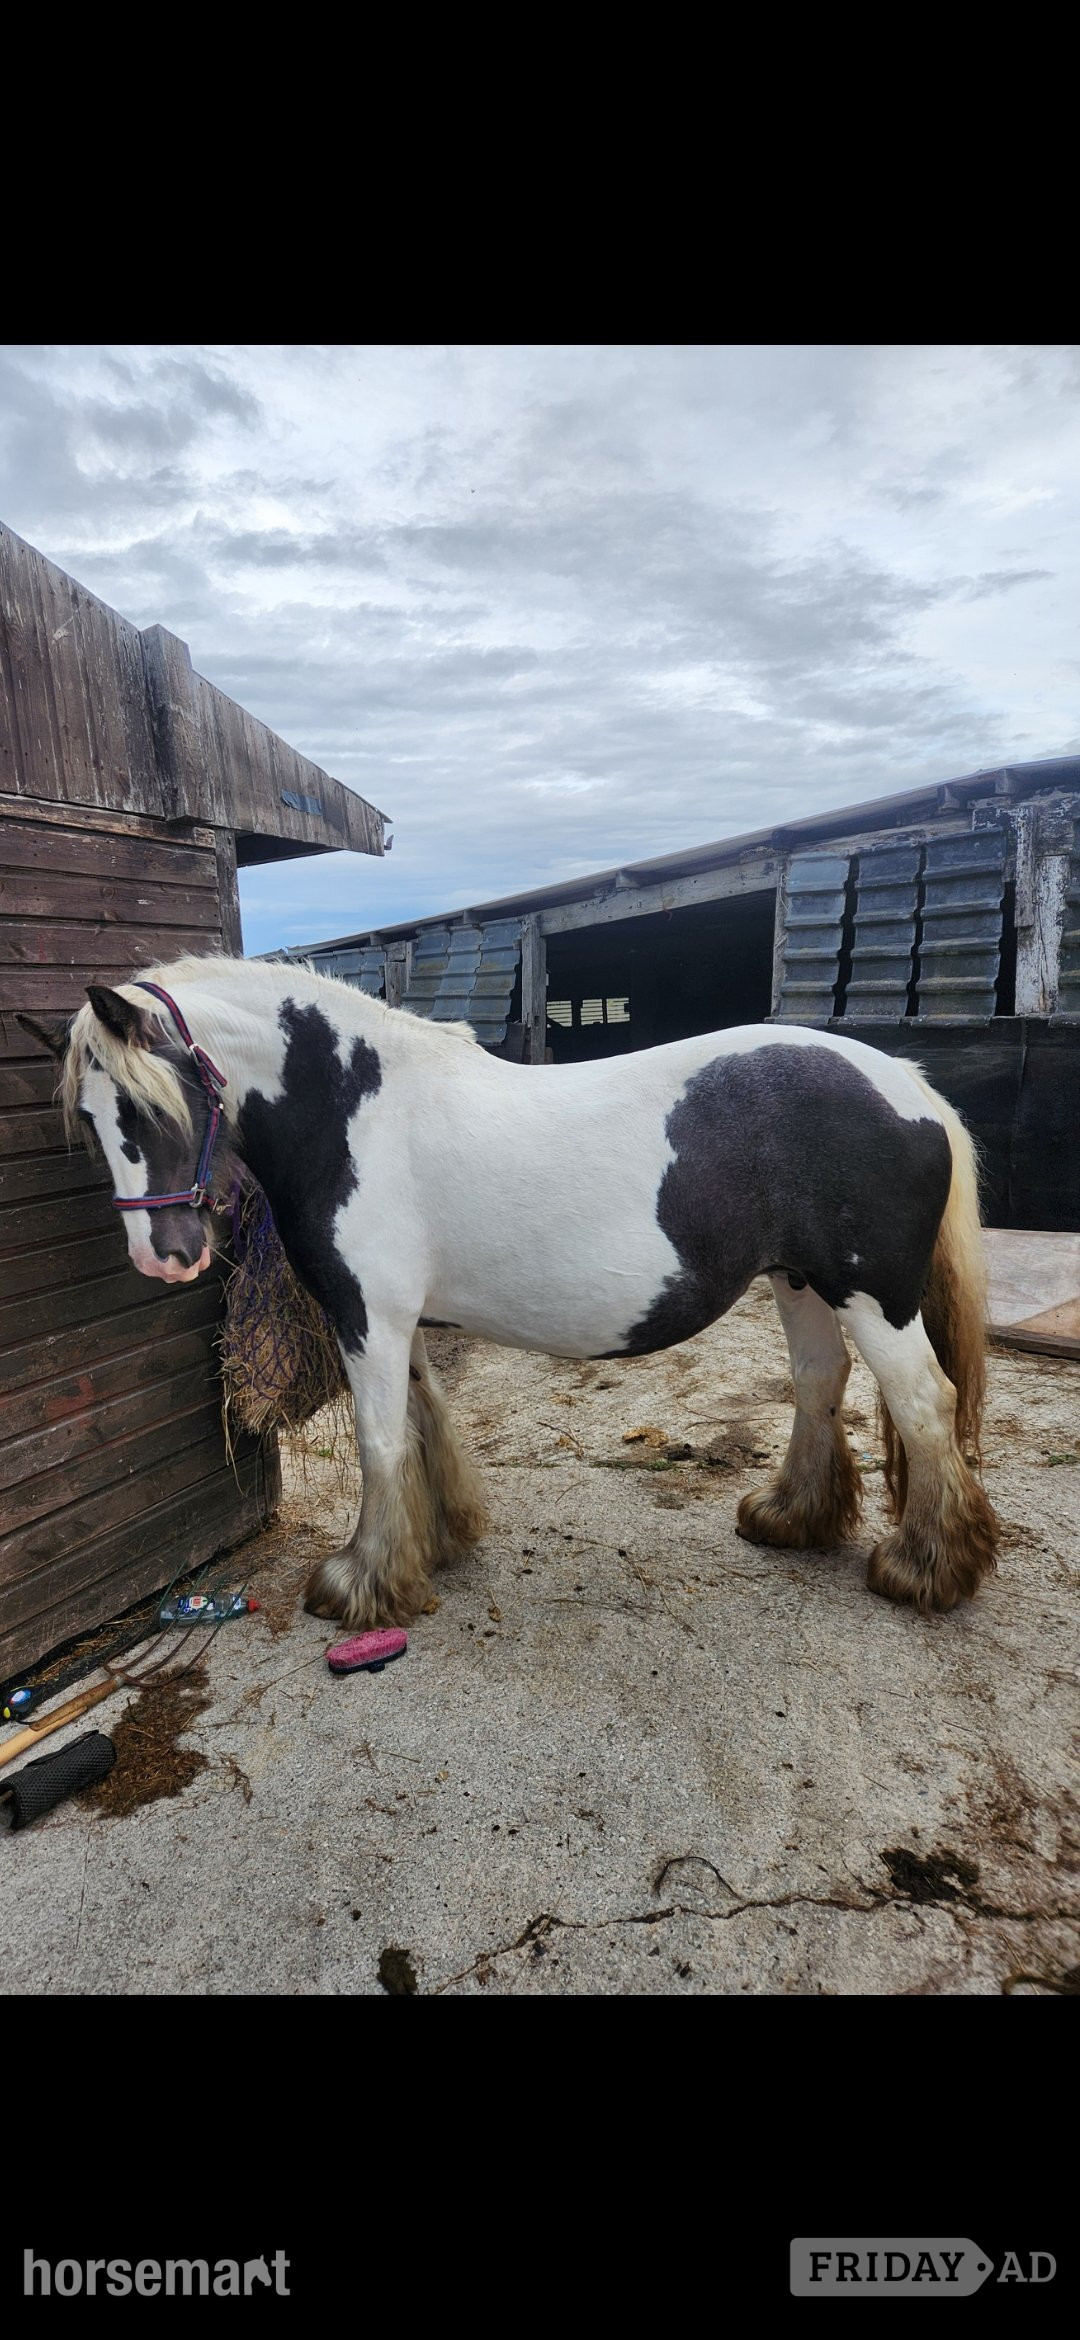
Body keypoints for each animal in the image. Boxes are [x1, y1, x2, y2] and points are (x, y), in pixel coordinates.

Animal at [24, 951, 999, 1626]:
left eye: (155, 1102)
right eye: (91, 1118)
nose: (165, 1255)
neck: (353, 1110)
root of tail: (906, 1084)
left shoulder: (366, 1317)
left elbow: (380, 1441)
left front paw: (360, 1582)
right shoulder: (397, 1321)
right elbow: (422, 1420)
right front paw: (438, 1543)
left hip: (871, 1296)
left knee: (923, 1403)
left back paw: (925, 1568)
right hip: (801, 1285)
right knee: (818, 1385)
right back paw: (793, 1517)